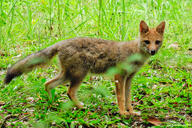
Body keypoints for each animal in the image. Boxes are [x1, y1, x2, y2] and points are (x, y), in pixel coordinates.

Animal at [3, 20, 164, 116]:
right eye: (146, 42)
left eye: (157, 42)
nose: (152, 51)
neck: (134, 53)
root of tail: (61, 42)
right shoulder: (119, 77)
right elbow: (121, 98)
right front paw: (123, 113)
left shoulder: (129, 78)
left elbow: (128, 98)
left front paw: (131, 112)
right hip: (79, 76)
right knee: (69, 91)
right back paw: (80, 107)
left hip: (67, 75)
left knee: (48, 84)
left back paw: (53, 103)